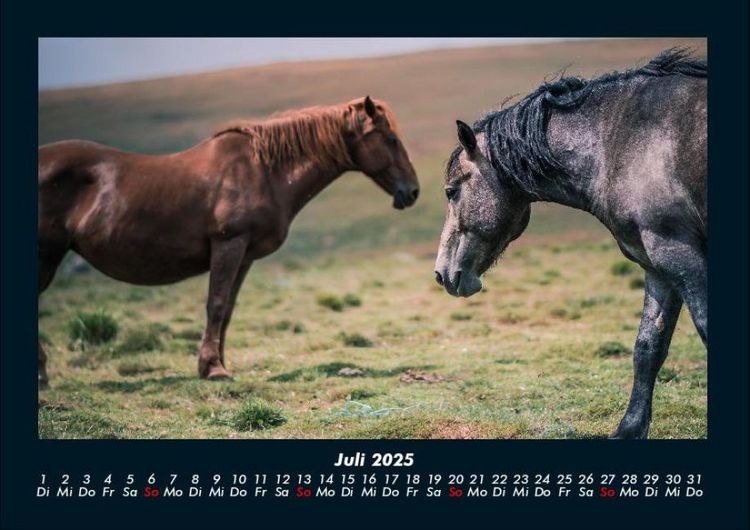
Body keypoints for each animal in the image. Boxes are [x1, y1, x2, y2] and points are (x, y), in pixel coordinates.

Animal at [38, 96, 419, 386]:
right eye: (390, 140)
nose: (412, 191)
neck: (263, 171)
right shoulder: (229, 245)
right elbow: (217, 304)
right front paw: (213, 369)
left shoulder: (244, 256)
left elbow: (229, 309)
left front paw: (214, 363)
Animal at [434, 49, 706, 439]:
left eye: (451, 191)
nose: (442, 273)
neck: (620, 141)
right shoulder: (658, 265)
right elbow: (648, 348)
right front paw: (629, 428)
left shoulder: (681, 255)